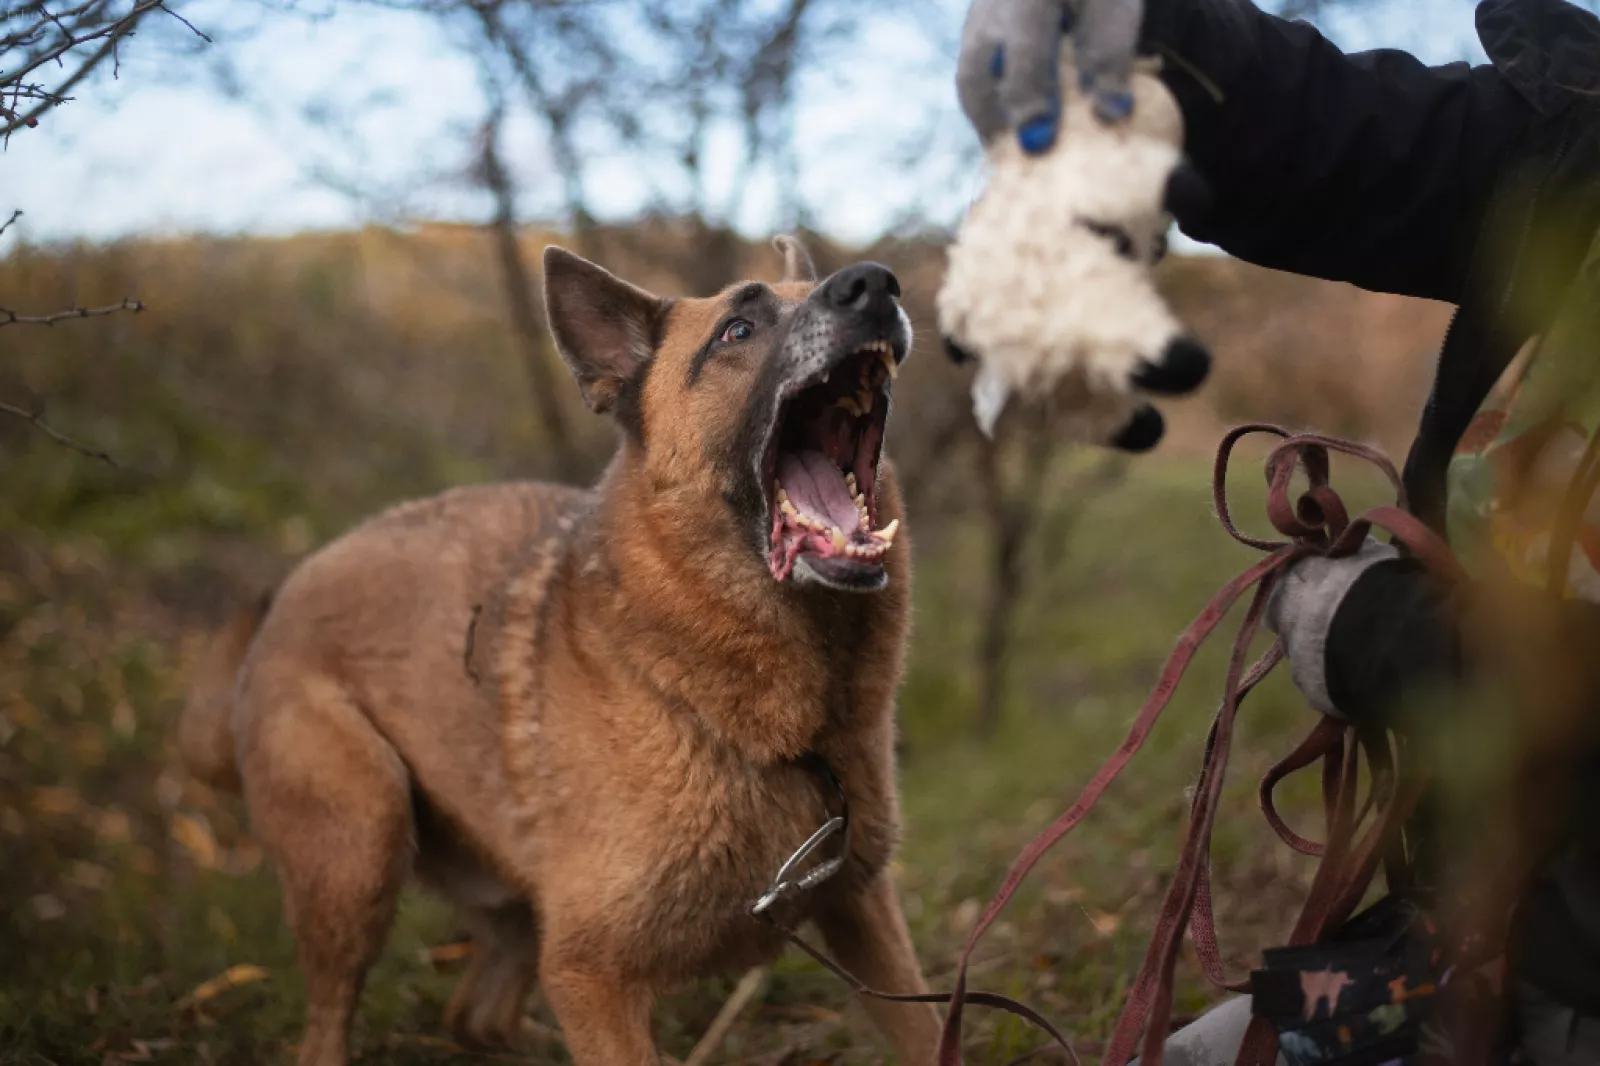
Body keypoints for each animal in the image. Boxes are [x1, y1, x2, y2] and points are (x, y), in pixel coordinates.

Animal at [178, 236, 941, 1065]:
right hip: (361, 846)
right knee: (327, 1032)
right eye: (736, 331)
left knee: (474, 1014)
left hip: (505, 908)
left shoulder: (865, 914)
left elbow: (932, 1036)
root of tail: (279, 611)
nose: (874, 284)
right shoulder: (590, 977)